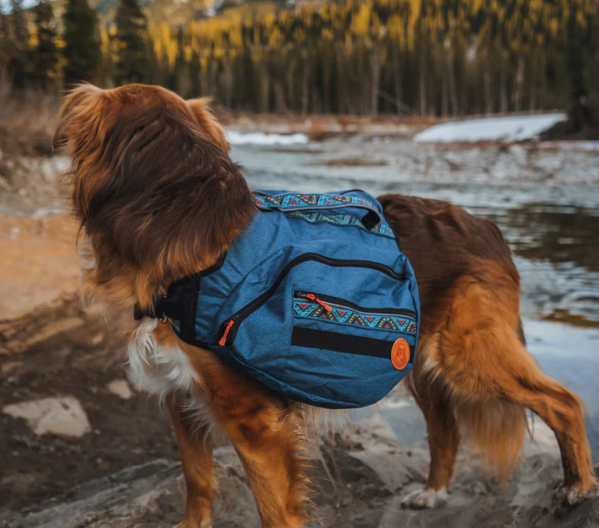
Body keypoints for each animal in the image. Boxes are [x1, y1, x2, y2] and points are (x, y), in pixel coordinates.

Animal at [52, 84, 596, 524]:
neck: (187, 232)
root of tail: (487, 226)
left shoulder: (255, 422)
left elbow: (274, 509)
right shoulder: (181, 397)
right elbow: (198, 483)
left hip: (467, 352)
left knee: (563, 401)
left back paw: (577, 486)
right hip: (420, 360)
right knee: (445, 427)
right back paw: (433, 493)